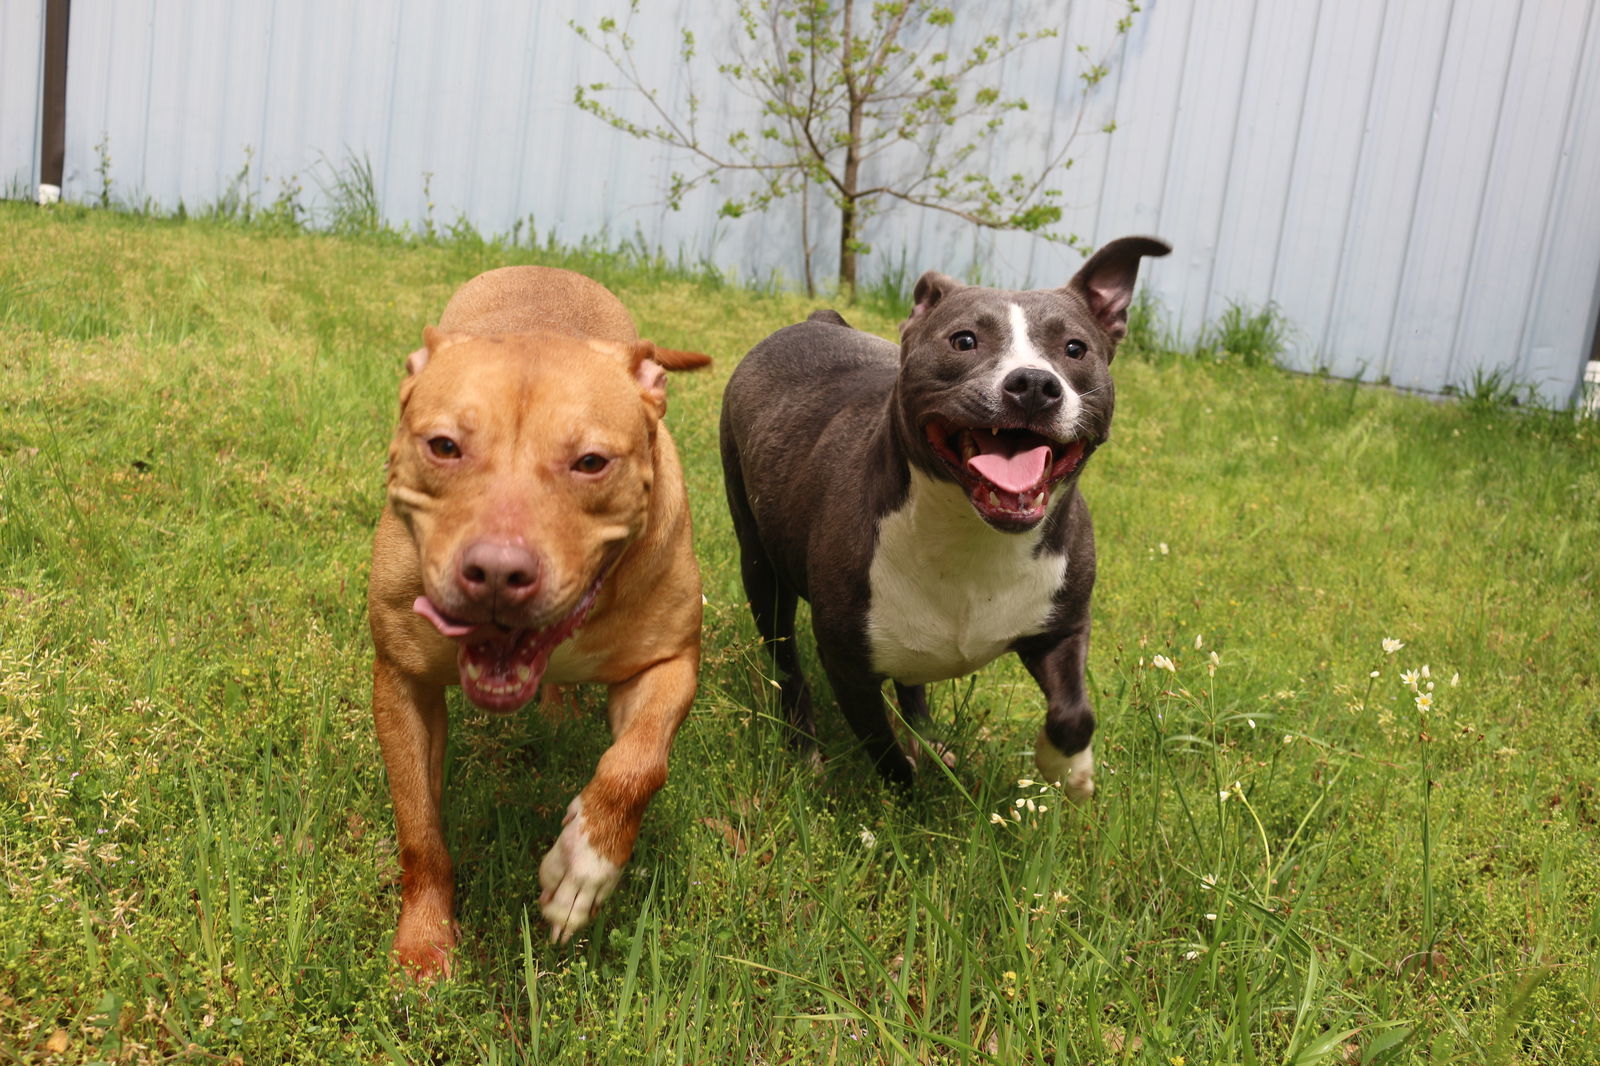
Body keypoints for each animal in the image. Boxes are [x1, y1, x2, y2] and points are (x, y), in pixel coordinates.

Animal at [371, 265, 710, 973]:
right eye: (444, 446)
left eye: (592, 462)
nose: (498, 573)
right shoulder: (402, 681)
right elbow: (419, 827)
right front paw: (423, 942)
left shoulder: (668, 664)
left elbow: (638, 766)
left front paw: (585, 866)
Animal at [720, 236, 1171, 793]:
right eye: (964, 341)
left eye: (1074, 349)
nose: (1034, 384)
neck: (971, 533)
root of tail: (816, 319)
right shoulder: (849, 665)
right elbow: (884, 752)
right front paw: (909, 791)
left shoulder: (1062, 627)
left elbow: (1074, 713)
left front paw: (1068, 767)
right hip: (761, 570)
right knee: (787, 666)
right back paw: (805, 748)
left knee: (911, 683)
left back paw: (930, 739)